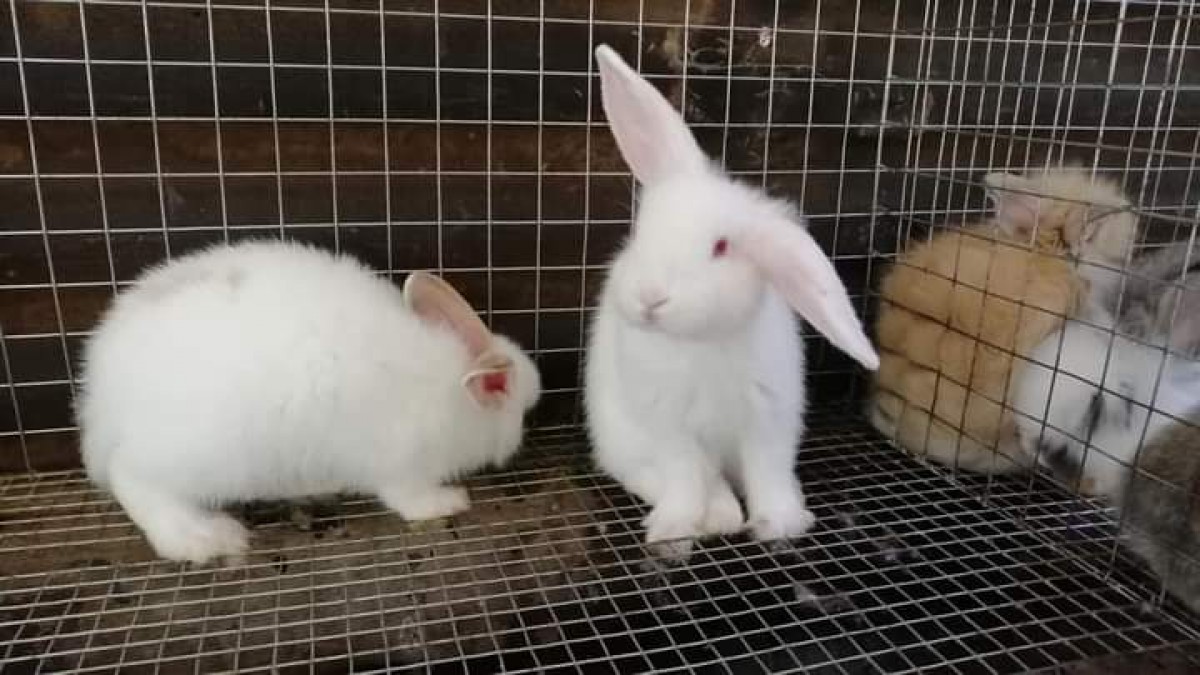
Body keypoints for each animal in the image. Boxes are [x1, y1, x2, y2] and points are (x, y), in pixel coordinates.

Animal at [77, 241, 541, 564]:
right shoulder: (400, 466)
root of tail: (102, 395)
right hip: (195, 453)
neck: (447, 389)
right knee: (134, 480)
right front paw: (451, 502)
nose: (521, 435)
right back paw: (203, 537)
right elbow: (409, 500)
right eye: (519, 407)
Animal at [583, 44, 879, 555]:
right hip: (620, 439)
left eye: (721, 247)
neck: (703, 342)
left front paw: (782, 524)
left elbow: (769, 472)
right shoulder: (671, 429)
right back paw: (717, 518)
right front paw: (677, 530)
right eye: (641, 233)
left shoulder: (770, 418)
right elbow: (687, 478)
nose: (650, 298)